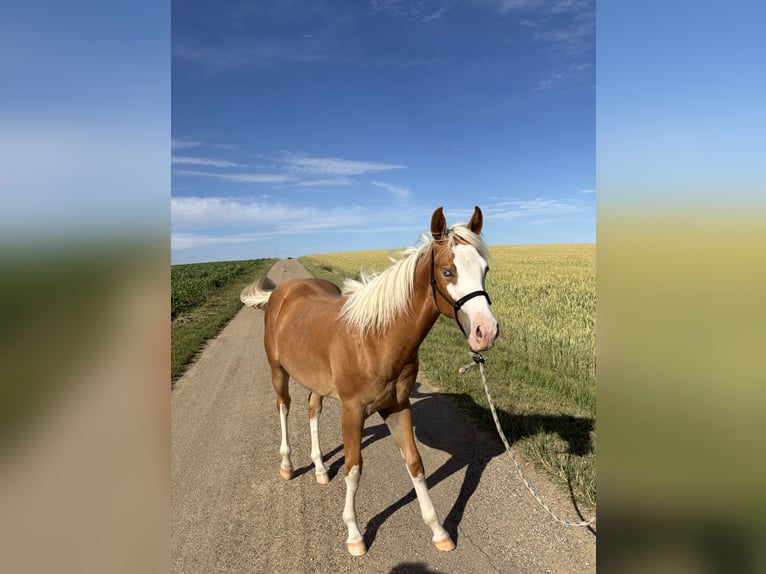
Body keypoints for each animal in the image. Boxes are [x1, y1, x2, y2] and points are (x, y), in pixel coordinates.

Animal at [240, 206, 498, 556]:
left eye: (485, 269)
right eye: (447, 272)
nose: (486, 332)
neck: (376, 339)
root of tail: (283, 291)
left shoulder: (398, 407)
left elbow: (415, 464)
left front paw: (439, 531)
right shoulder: (352, 411)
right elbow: (354, 468)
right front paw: (354, 534)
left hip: (317, 383)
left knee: (312, 410)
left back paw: (320, 468)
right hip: (278, 371)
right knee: (284, 408)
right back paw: (288, 465)